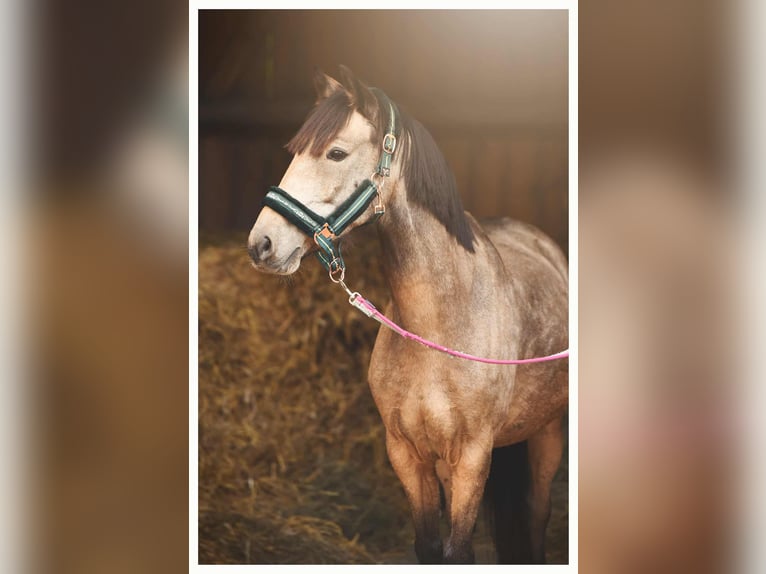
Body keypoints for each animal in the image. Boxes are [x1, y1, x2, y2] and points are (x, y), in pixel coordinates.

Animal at [247, 66, 568, 564]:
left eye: (336, 153)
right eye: (294, 152)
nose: (261, 244)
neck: (438, 323)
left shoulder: (472, 455)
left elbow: (459, 551)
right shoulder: (407, 454)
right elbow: (429, 546)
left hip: (547, 432)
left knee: (536, 514)